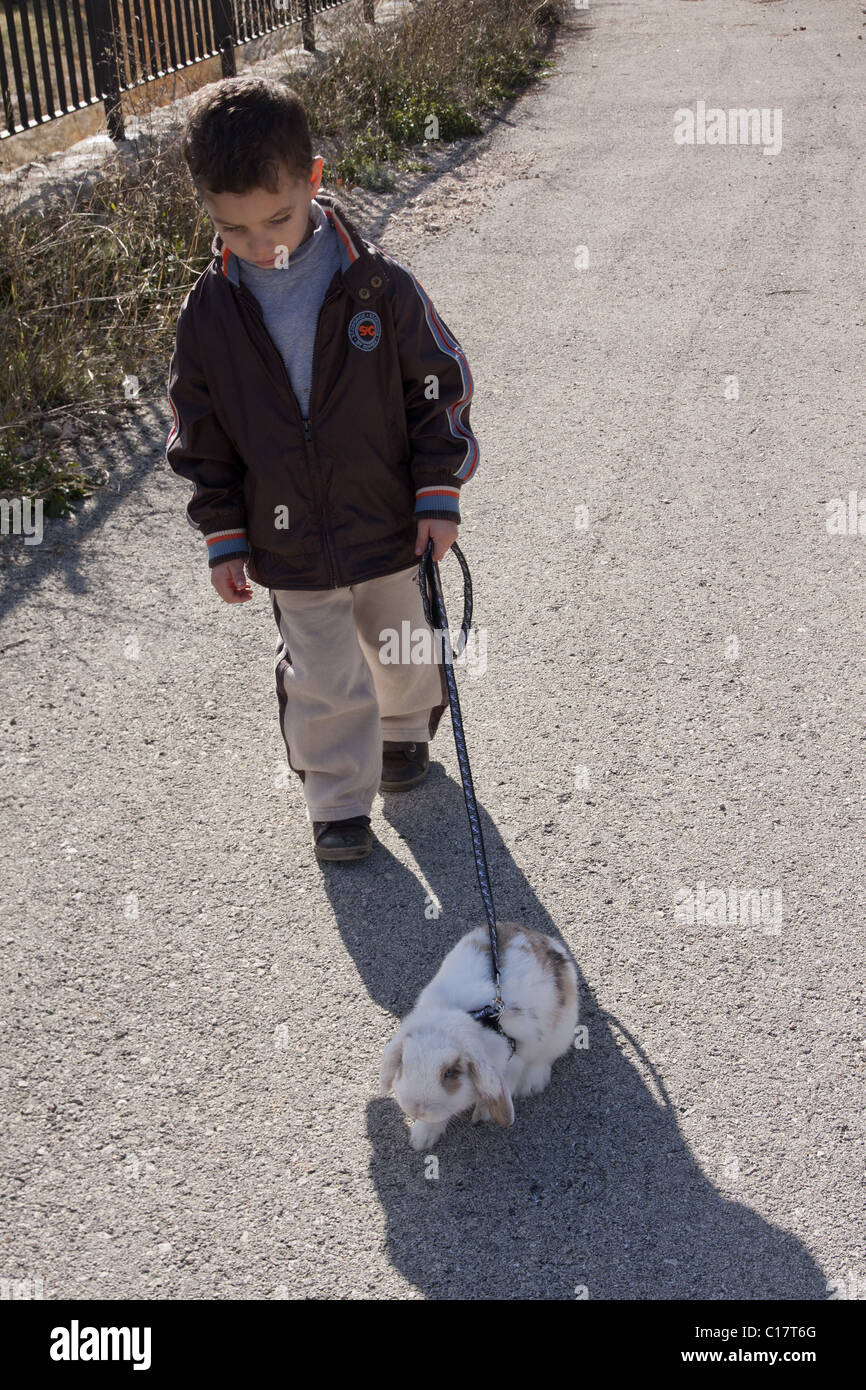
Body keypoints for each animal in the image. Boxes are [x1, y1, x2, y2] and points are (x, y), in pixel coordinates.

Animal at [378, 922, 575, 1150]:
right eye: (403, 1063)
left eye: (450, 1073)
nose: (417, 1109)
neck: (478, 1016)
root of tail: (541, 938)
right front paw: (421, 1139)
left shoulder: (513, 1063)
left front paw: (484, 1114)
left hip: (562, 1031)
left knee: (545, 1058)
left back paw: (532, 1085)